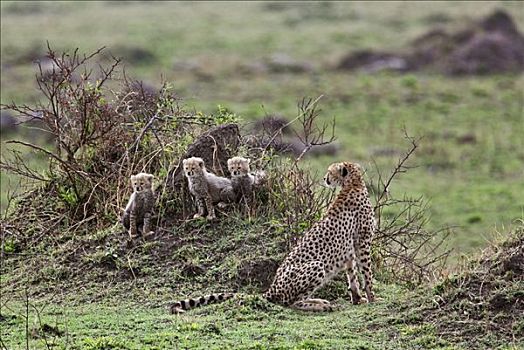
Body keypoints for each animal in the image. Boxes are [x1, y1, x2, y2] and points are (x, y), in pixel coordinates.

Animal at [170, 160, 374, 314]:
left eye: (330, 172)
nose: (326, 178)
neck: (353, 184)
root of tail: (271, 288)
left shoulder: (351, 247)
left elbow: (352, 275)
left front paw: (358, 298)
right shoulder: (363, 242)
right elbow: (367, 273)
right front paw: (372, 298)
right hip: (316, 266)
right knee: (291, 303)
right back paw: (319, 305)